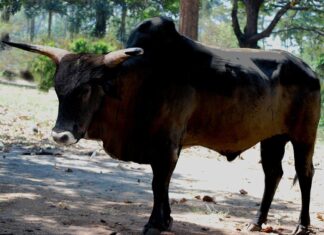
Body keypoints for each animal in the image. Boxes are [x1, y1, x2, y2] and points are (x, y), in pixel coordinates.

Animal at [3, 17, 322, 235]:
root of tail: (308, 69)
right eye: (59, 89)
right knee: (273, 174)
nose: (60, 135)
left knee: (305, 173)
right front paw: (165, 219)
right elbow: (160, 185)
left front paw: (155, 223)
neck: (139, 82)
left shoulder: (167, 146)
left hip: (303, 135)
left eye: (86, 90)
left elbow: (159, 183)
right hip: (273, 138)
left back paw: (302, 226)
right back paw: (257, 221)